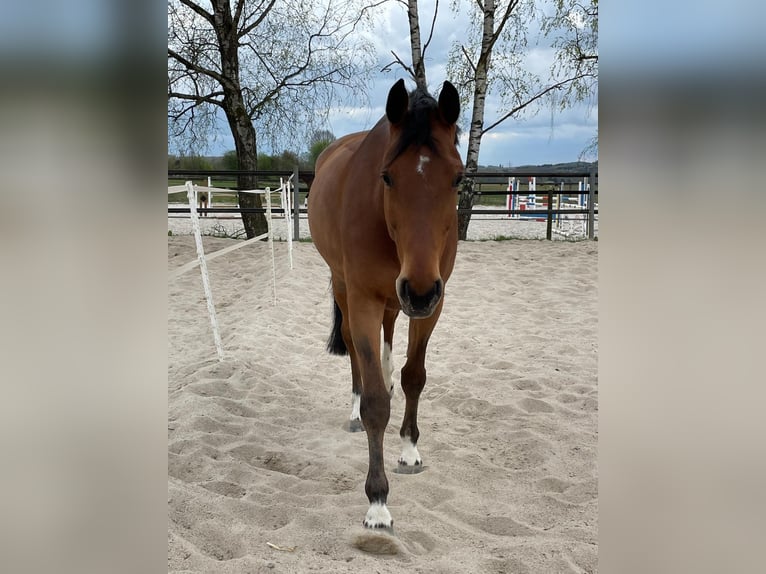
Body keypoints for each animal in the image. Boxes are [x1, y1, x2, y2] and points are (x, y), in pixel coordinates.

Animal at [308, 79, 463, 529]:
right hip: (347, 287)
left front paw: (410, 449)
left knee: (391, 333)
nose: (420, 289)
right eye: (387, 177)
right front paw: (377, 502)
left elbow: (415, 376)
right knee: (355, 352)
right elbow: (376, 402)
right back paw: (354, 407)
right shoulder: (364, 298)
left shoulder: (433, 303)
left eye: (458, 177)